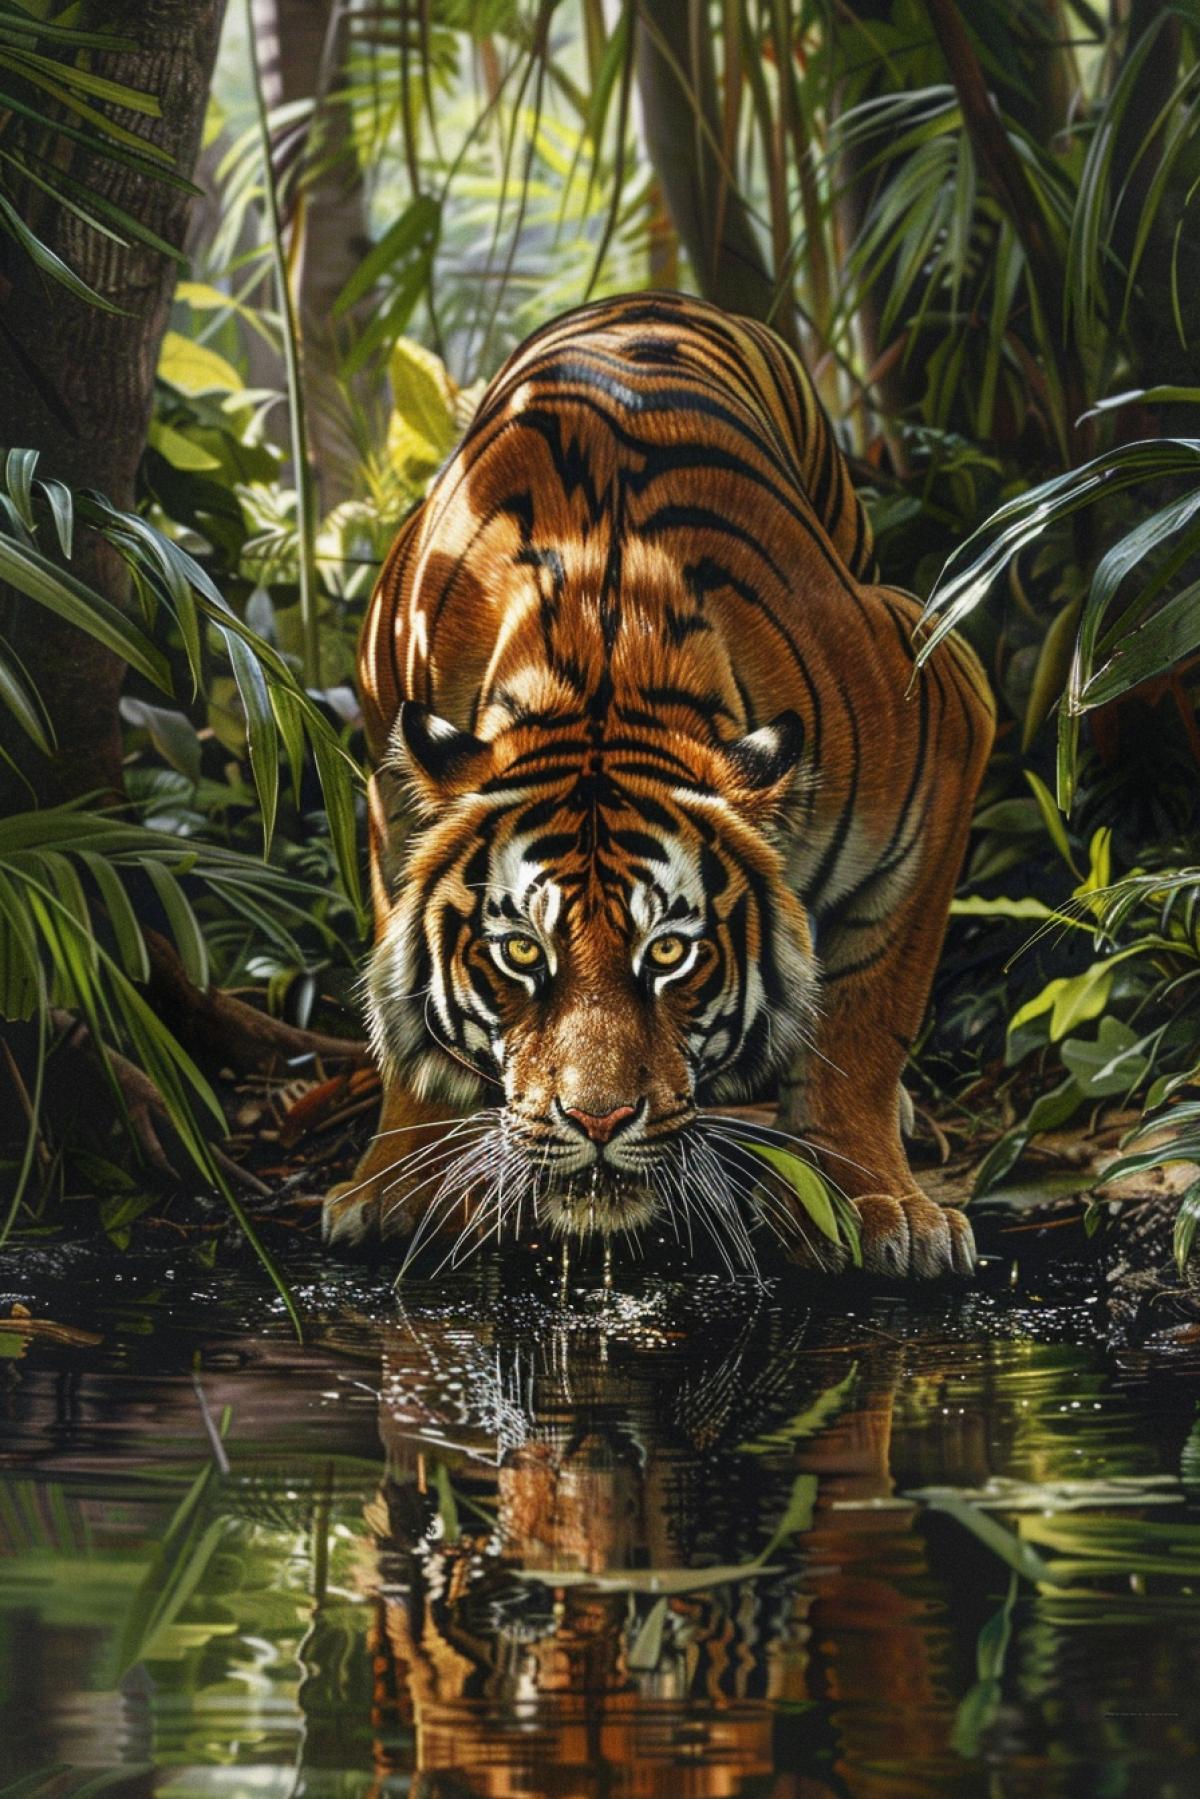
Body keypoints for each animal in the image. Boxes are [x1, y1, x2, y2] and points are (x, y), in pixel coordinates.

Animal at [324, 291, 994, 1277]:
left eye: (672, 953)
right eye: (520, 953)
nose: (597, 1119)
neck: (605, 658)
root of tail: (646, 298)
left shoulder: (945, 717)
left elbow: (865, 1017)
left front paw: (870, 1204)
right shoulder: (390, 788)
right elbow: (406, 1013)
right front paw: (399, 1185)